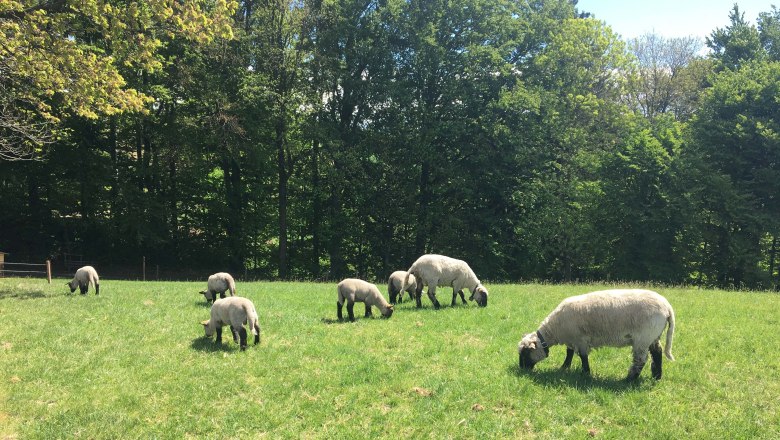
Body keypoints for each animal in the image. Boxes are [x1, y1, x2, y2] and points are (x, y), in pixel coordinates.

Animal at [516, 288, 676, 382]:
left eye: (525, 353)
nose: (522, 369)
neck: (555, 329)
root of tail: (667, 307)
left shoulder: (580, 340)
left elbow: (583, 356)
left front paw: (586, 373)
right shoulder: (571, 339)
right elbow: (569, 353)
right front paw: (564, 367)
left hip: (643, 337)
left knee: (641, 359)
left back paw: (630, 379)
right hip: (653, 335)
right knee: (657, 352)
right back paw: (657, 376)